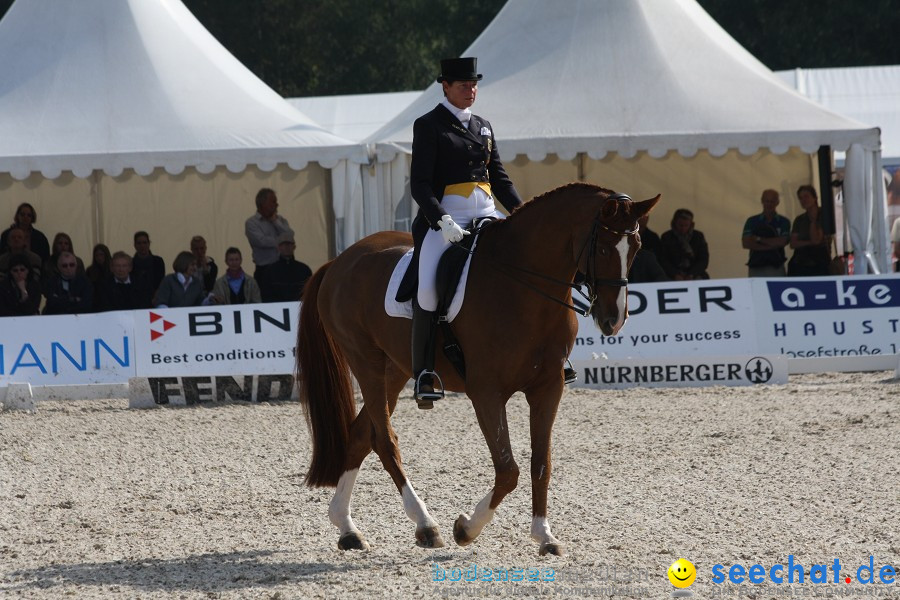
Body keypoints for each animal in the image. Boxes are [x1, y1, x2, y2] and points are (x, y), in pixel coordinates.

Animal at [298, 182, 656, 552]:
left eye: (636, 247)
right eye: (602, 247)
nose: (613, 321)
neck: (522, 286)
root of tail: (340, 261)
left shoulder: (548, 387)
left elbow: (541, 462)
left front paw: (544, 534)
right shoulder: (486, 392)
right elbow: (508, 470)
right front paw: (467, 528)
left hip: (393, 371)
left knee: (359, 435)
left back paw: (347, 528)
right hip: (366, 361)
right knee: (383, 440)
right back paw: (425, 524)